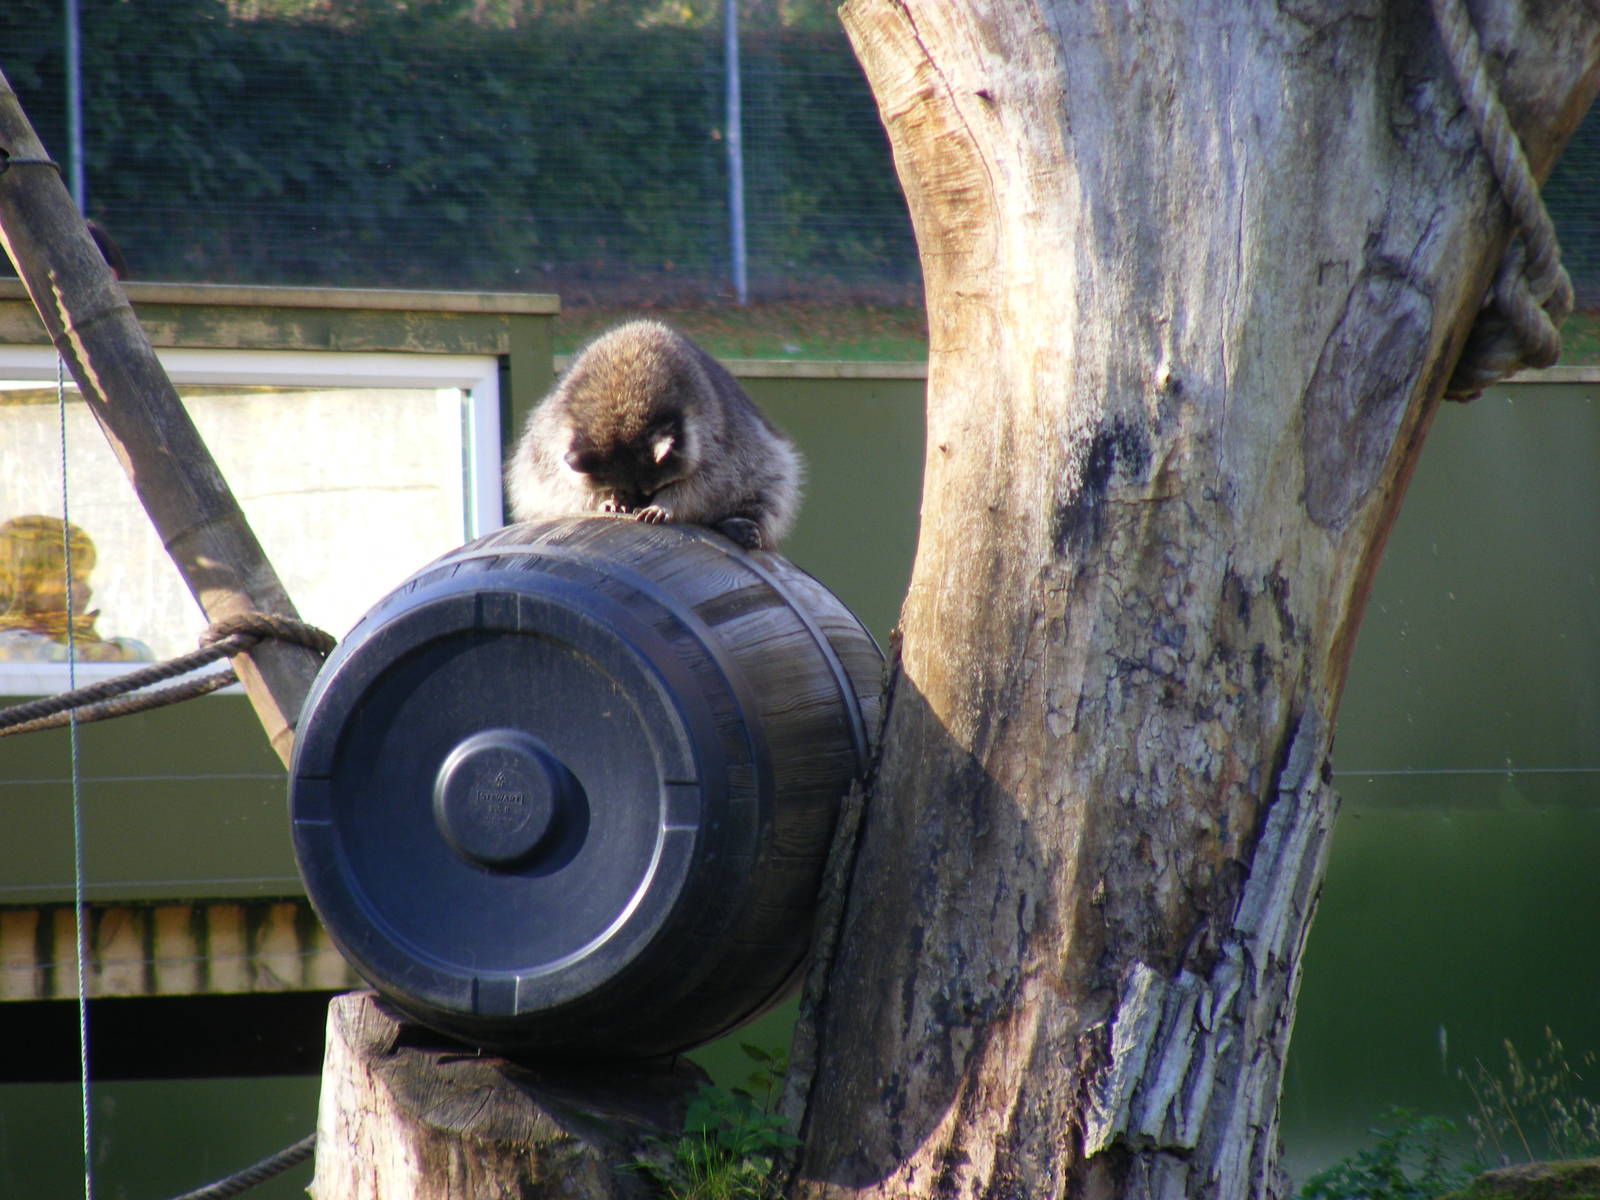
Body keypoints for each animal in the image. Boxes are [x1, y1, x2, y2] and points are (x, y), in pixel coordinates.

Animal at [506, 320, 802, 550]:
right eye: (621, 488)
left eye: (656, 489)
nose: (635, 502)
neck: (624, 402)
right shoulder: (551, 445)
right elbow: (565, 488)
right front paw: (607, 500)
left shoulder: (717, 439)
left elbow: (704, 485)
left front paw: (667, 503)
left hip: (764, 457)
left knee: (769, 488)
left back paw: (740, 521)